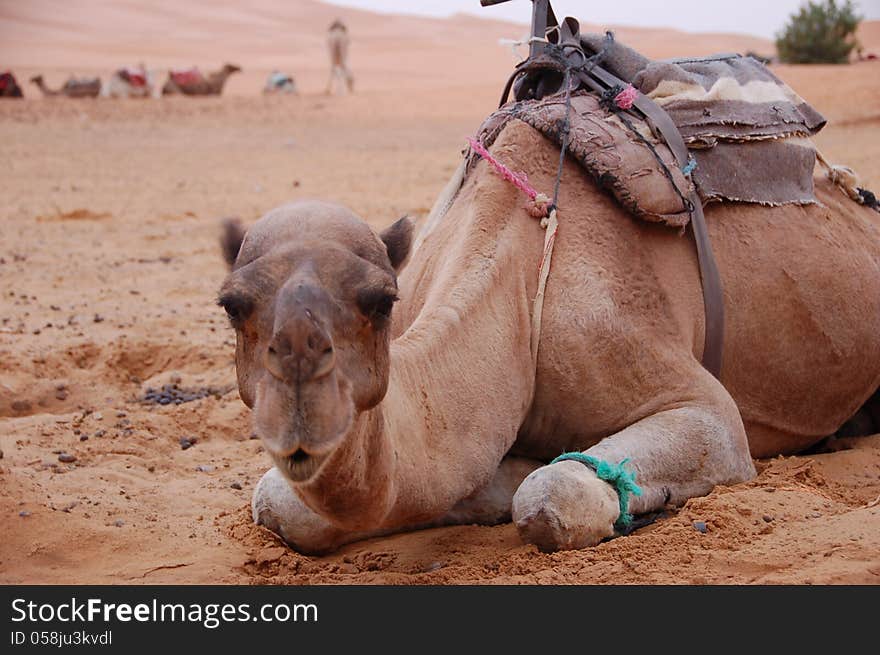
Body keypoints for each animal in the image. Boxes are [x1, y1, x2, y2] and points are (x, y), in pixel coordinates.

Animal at [218, 116, 880, 552]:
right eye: (232, 305)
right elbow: (277, 502)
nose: (300, 380)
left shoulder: (691, 399)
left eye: (380, 301)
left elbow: (551, 491)